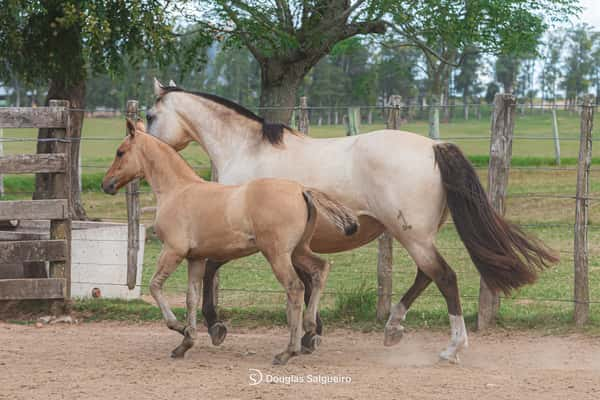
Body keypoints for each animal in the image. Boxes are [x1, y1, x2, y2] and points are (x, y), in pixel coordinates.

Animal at [102, 119, 360, 366]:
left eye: (120, 152)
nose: (106, 184)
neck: (177, 190)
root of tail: (301, 190)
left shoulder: (173, 251)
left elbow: (155, 286)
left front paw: (179, 327)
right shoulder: (195, 258)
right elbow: (191, 297)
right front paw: (185, 343)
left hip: (277, 254)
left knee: (295, 288)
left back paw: (288, 351)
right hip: (298, 251)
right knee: (320, 270)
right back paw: (310, 328)